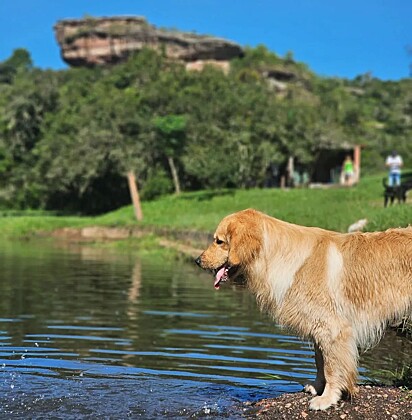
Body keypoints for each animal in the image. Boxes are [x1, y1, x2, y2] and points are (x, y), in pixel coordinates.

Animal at [195, 210, 412, 410]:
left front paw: (327, 398)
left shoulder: (332, 328)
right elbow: (320, 361)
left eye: (219, 241)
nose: (197, 260)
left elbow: (332, 367)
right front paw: (317, 386)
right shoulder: (319, 326)